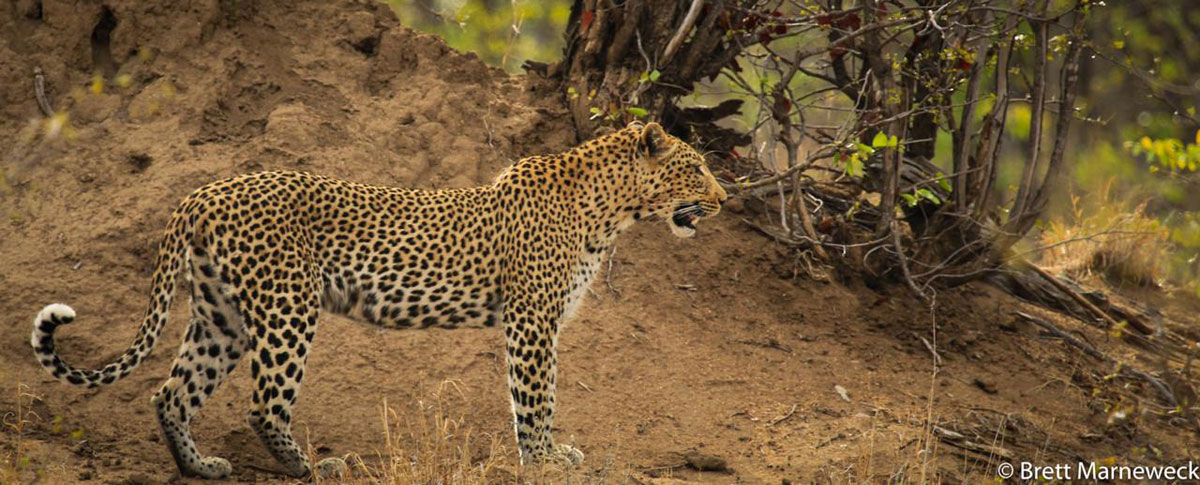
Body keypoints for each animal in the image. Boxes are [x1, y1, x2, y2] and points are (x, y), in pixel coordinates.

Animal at [30, 121, 727, 479]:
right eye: (695, 168)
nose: (723, 200)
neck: (614, 210)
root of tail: (201, 193)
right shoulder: (532, 320)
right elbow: (535, 398)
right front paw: (545, 459)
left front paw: (545, 456)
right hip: (287, 307)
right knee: (263, 405)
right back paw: (315, 469)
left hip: (221, 317)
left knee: (171, 393)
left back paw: (200, 467)